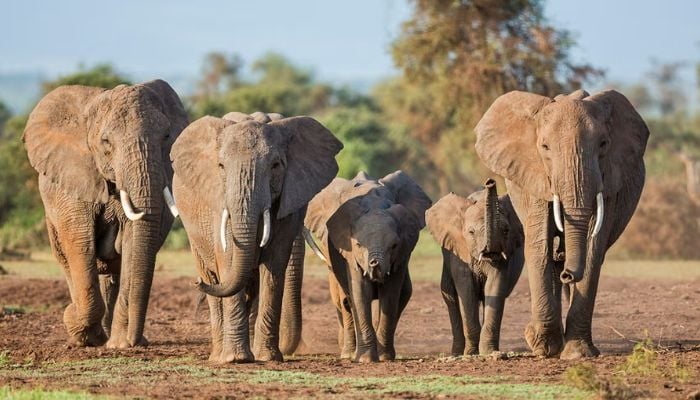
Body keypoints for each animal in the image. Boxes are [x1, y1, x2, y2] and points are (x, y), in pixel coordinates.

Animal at [23, 80, 188, 348]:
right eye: (106, 142)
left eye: (166, 137)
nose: (136, 341)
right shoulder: (74, 181)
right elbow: (80, 243)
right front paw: (78, 326)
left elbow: (133, 244)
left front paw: (120, 345)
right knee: (69, 262)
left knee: (113, 271)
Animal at [171, 111, 342, 363]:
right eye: (221, 166)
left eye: (276, 166)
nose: (196, 283)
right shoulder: (218, 203)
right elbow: (228, 259)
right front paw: (237, 359)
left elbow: (274, 265)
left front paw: (268, 358)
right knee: (214, 278)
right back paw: (218, 355)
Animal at [304, 171, 432, 362]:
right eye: (358, 245)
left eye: (394, 246)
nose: (374, 265)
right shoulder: (348, 252)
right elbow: (359, 290)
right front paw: (366, 360)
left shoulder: (403, 251)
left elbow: (391, 294)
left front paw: (384, 357)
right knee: (344, 299)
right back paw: (348, 354)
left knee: (404, 293)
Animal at [426, 179, 524, 356]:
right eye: (471, 232)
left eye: (506, 231)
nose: (490, 182)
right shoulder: (459, 251)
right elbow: (466, 289)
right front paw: (471, 353)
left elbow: (494, 286)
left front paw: (489, 352)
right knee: (450, 295)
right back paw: (457, 352)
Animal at [474, 89, 649, 359]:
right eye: (545, 147)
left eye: (603, 144)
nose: (569, 274)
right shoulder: (534, 177)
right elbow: (539, 247)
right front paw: (542, 346)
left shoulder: (610, 179)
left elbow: (593, 249)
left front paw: (577, 353)